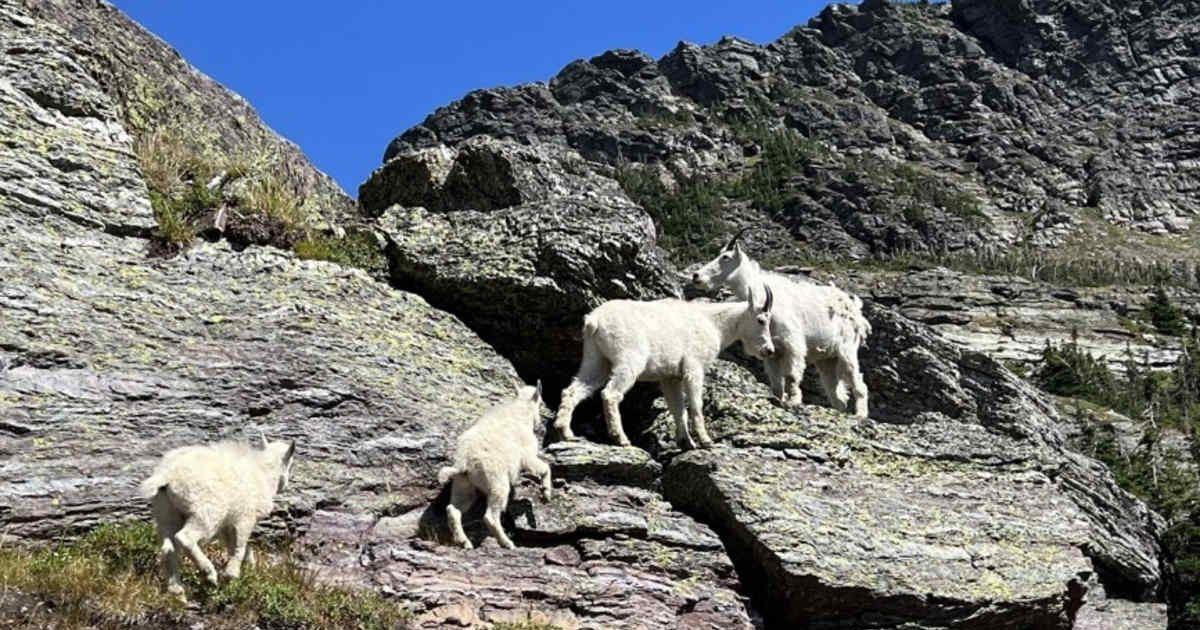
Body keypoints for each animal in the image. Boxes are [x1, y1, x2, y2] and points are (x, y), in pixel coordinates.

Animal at [438, 382, 550, 550]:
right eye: (541, 402)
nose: (540, 423)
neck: (521, 411)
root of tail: (463, 462)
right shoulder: (527, 455)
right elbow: (544, 467)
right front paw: (546, 492)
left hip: (463, 483)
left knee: (453, 509)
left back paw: (464, 542)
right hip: (496, 481)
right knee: (490, 516)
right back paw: (507, 543)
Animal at [554, 287, 775, 450]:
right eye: (761, 320)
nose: (769, 350)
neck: (715, 324)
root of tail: (594, 321)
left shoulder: (671, 377)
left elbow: (677, 408)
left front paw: (686, 442)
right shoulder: (694, 367)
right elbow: (695, 405)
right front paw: (705, 440)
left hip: (596, 359)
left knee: (573, 390)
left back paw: (565, 432)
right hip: (629, 360)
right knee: (611, 394)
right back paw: (621, 438)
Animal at [692, 229, 870, 417]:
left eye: (725, 257)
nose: (696, 276)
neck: (761, 294)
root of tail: (855, 309)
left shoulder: (792, 343)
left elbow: (791, 376)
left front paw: (794, 401)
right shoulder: (772, 351)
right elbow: (776, 382)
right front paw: (780, 400)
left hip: (847, 350)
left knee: (859, 384)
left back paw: (860, 414)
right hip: (827, 359)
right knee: (836, 393)